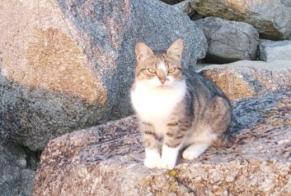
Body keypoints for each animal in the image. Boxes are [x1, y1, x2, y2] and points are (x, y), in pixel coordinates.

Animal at [131, 39, 232, 169]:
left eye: (171, 70)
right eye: (151, 70)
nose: (163, 79)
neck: (158, 96)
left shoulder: (179, 119)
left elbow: (171, 142)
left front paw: (166, 162)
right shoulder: (145, 119)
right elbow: (149, 138)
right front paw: (153, 160)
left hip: (218, 109)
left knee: (209, 138)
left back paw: (191, 151)